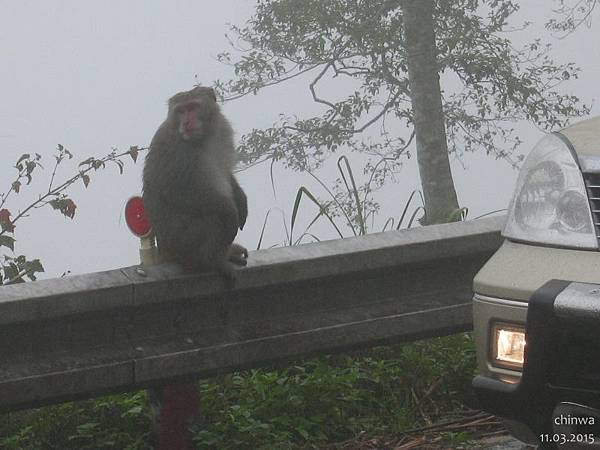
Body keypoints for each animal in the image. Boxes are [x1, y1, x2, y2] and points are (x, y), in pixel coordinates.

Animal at [143, 86, 248, 280]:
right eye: (180, 111)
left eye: (192, 108)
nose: (186, 122)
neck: (204, 136)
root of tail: (165, 252)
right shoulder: (175, 149)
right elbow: (178, 192)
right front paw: (230, 210)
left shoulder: (222, 129)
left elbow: (225, 171)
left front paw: (241, 199)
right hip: (182, 242)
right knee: (213, 217)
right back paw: (211, 261)